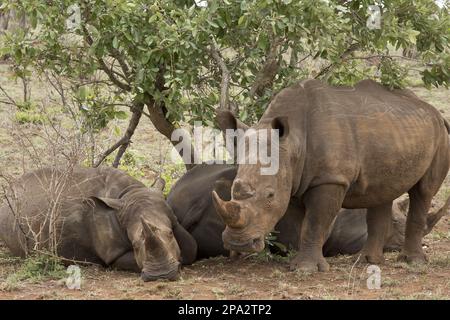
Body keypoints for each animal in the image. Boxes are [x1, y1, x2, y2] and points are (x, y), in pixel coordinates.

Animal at [0, 166, 197, 282]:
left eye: (170, 234)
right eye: (134, 245)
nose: (161, 276)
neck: (130, 193)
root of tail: (10, 190)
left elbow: (191, 248)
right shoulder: (112, 252)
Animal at [214, 79, 450, 272]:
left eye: (270, 195)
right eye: (233, 189)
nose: (238, 243)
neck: (293, 144)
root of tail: (436, 113)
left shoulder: (329, 179)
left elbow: (314, 222)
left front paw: (305, 269)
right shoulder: (294, 180)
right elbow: (303, 224)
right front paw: (297, 262)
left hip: (440, 136)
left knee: (423, 191)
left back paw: (412, 262)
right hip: (394, 133)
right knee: (382, 192)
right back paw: (366, 261)